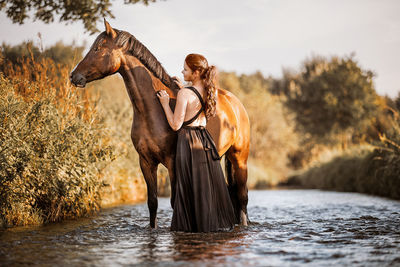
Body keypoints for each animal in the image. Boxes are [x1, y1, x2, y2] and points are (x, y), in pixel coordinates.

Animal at [69, 19, 250, 228]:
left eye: (98, 48)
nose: (74, 76)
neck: (152, 111)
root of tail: (236, 104)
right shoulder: (146, 162)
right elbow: (152, 202)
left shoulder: (172, 162)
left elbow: (173, 201)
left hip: (240, 159)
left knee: (242, 198)